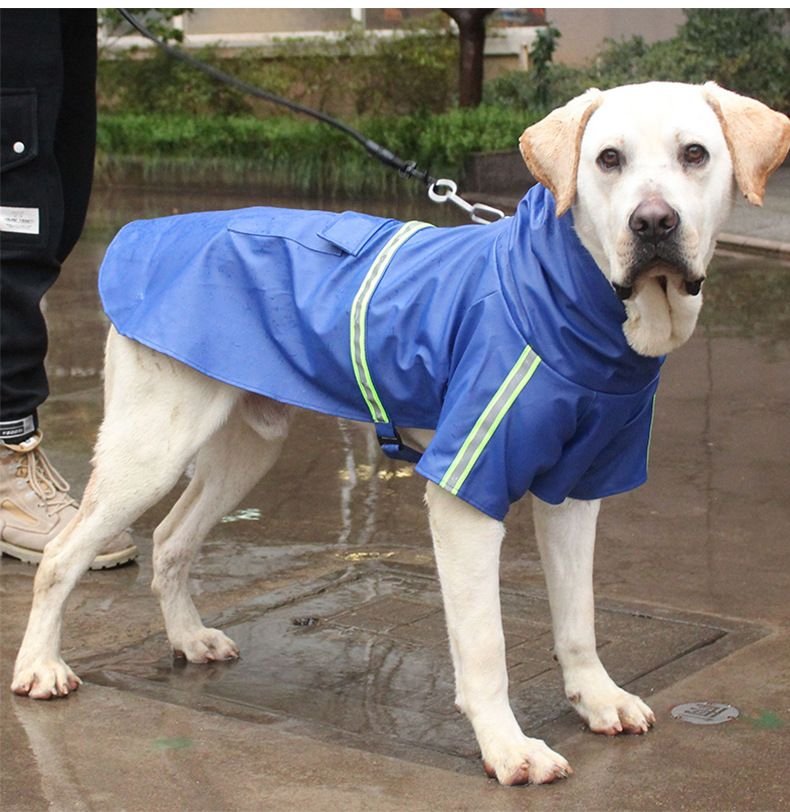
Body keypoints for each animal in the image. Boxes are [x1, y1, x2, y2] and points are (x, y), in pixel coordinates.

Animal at [12, 82, 790, 786]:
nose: (653, 223)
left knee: (173, 540)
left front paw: (595, 698)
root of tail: (144, 232)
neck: (573, 302)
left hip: (246, 446)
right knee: (62, 556)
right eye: (607, 159)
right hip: (150, 446)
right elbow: (485, 646)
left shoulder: (576, 490)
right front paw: (507, 748)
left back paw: (187, 638)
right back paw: (40, 666)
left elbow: (578, 618)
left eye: (695, 154)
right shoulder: (465, 494)